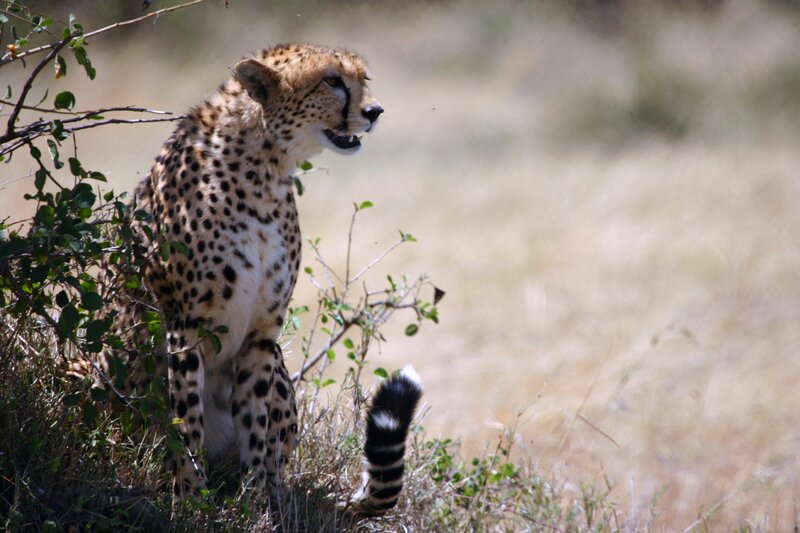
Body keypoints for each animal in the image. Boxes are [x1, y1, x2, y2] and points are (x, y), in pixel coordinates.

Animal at [88, 43, 422, 516]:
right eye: (332, 81)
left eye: (363, 78)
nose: (374, 111)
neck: (264, 169)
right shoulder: (185, 325)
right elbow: (186, 421)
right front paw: (190, 499)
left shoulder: (263, 332)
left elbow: (256, 421)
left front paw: (259, 501)